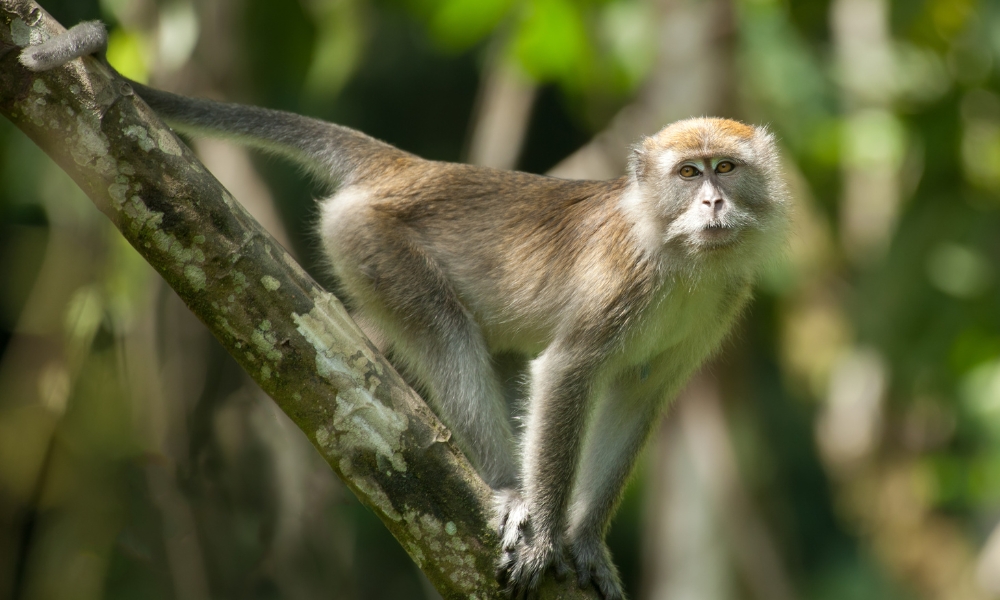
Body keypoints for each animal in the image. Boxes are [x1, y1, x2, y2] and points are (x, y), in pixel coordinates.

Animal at [17, 19, 788, 600]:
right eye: (688, 173)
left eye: (727, 169)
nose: (712, 202)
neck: (681, 257)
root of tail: (413, 169)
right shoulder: (624, 281)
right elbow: (567, 372)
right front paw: (544, 530)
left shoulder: (720, 304)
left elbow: (638, 394)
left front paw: (586, 541)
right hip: (369, 242)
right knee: (447, 336)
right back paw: (507, 491)